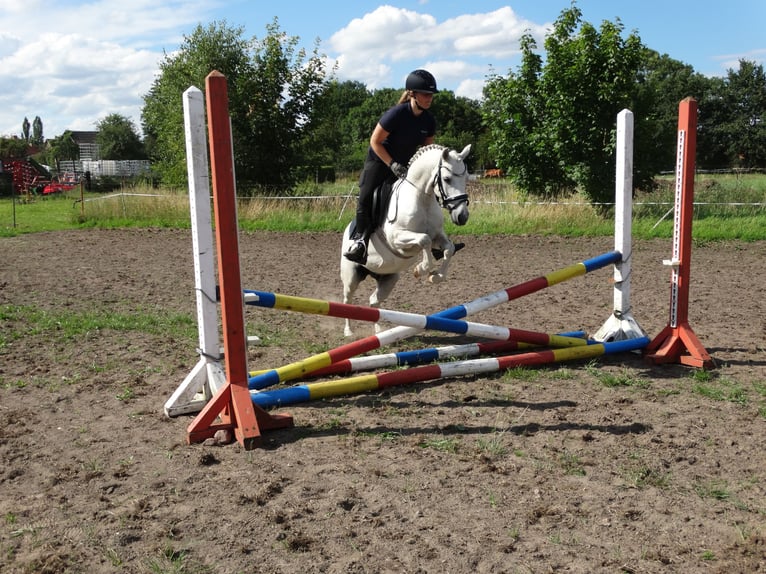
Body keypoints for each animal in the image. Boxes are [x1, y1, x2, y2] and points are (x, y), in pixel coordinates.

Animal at [344, 142, 474, 338]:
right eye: (447, 179)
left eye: (466, 178)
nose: (462, 216)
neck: (423, 197)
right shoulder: (398, 238)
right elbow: (424, 240)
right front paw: (421, 269)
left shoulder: (437, 235)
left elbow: (448, 248)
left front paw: (435, 277)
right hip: (352, 275)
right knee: (348, 299)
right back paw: (349, 332)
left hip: (388, 279)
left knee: (374, 301)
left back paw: (379, 332)